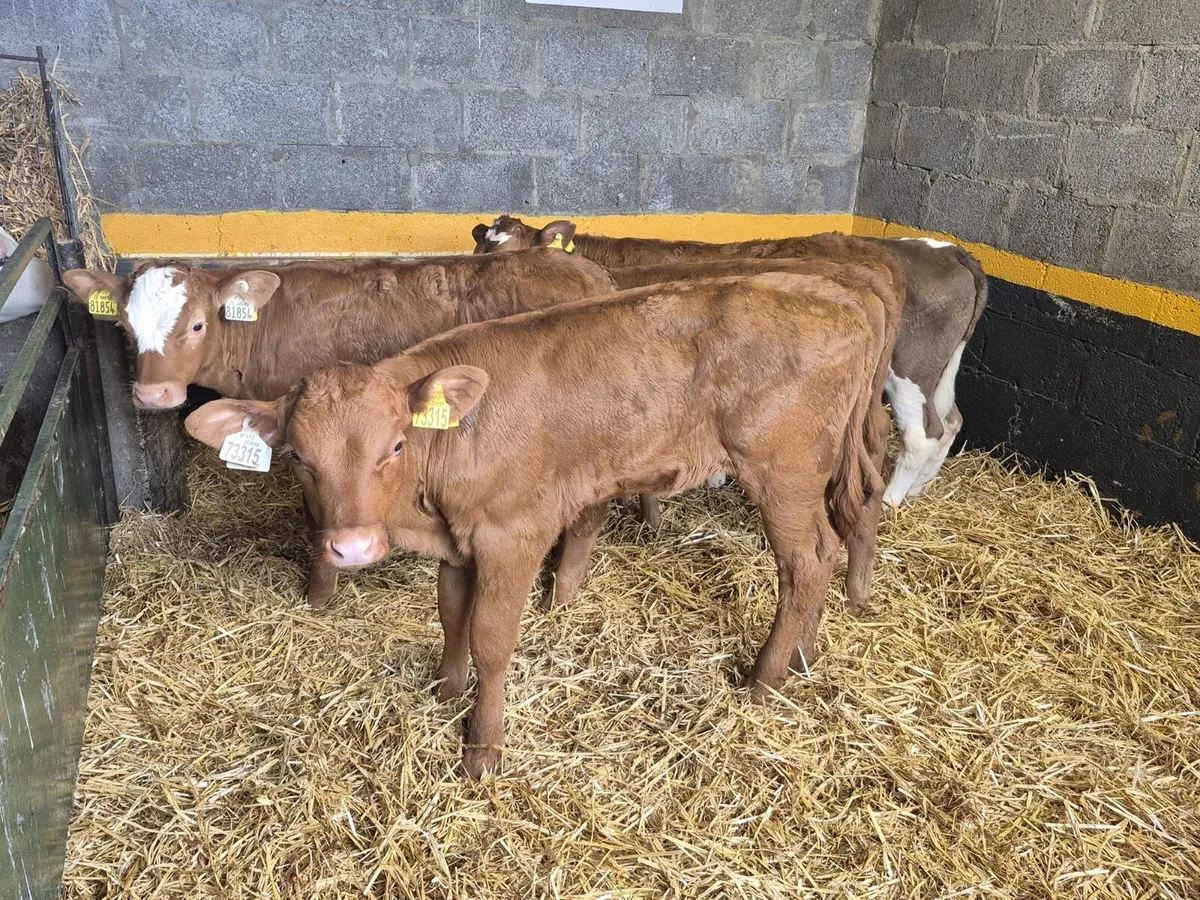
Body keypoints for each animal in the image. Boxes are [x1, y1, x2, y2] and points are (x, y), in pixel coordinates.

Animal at [62, 250, 627, 608]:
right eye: (125, 328)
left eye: (198, 324)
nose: (152, 395)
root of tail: (589, 271)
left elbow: (318, 518)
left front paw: (318, 595)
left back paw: (560, 593)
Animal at [184, 271, 888, 778]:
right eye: (298, 458)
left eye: (395, 445)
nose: (351, 546)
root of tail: (834, 295)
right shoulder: (459, 542)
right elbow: (452, 613)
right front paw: (446, 691)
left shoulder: (511, 535)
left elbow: (492, 639)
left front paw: (481, 747)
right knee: (827, 548)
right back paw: (803, 657)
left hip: (781, 471)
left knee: (804, 562)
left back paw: (763, 679)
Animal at [472, 216, 988, 506]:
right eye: (479, 247)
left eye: (513, 255)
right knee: (949, 421)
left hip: (911, 368)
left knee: (918, 433)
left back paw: (894, 501)